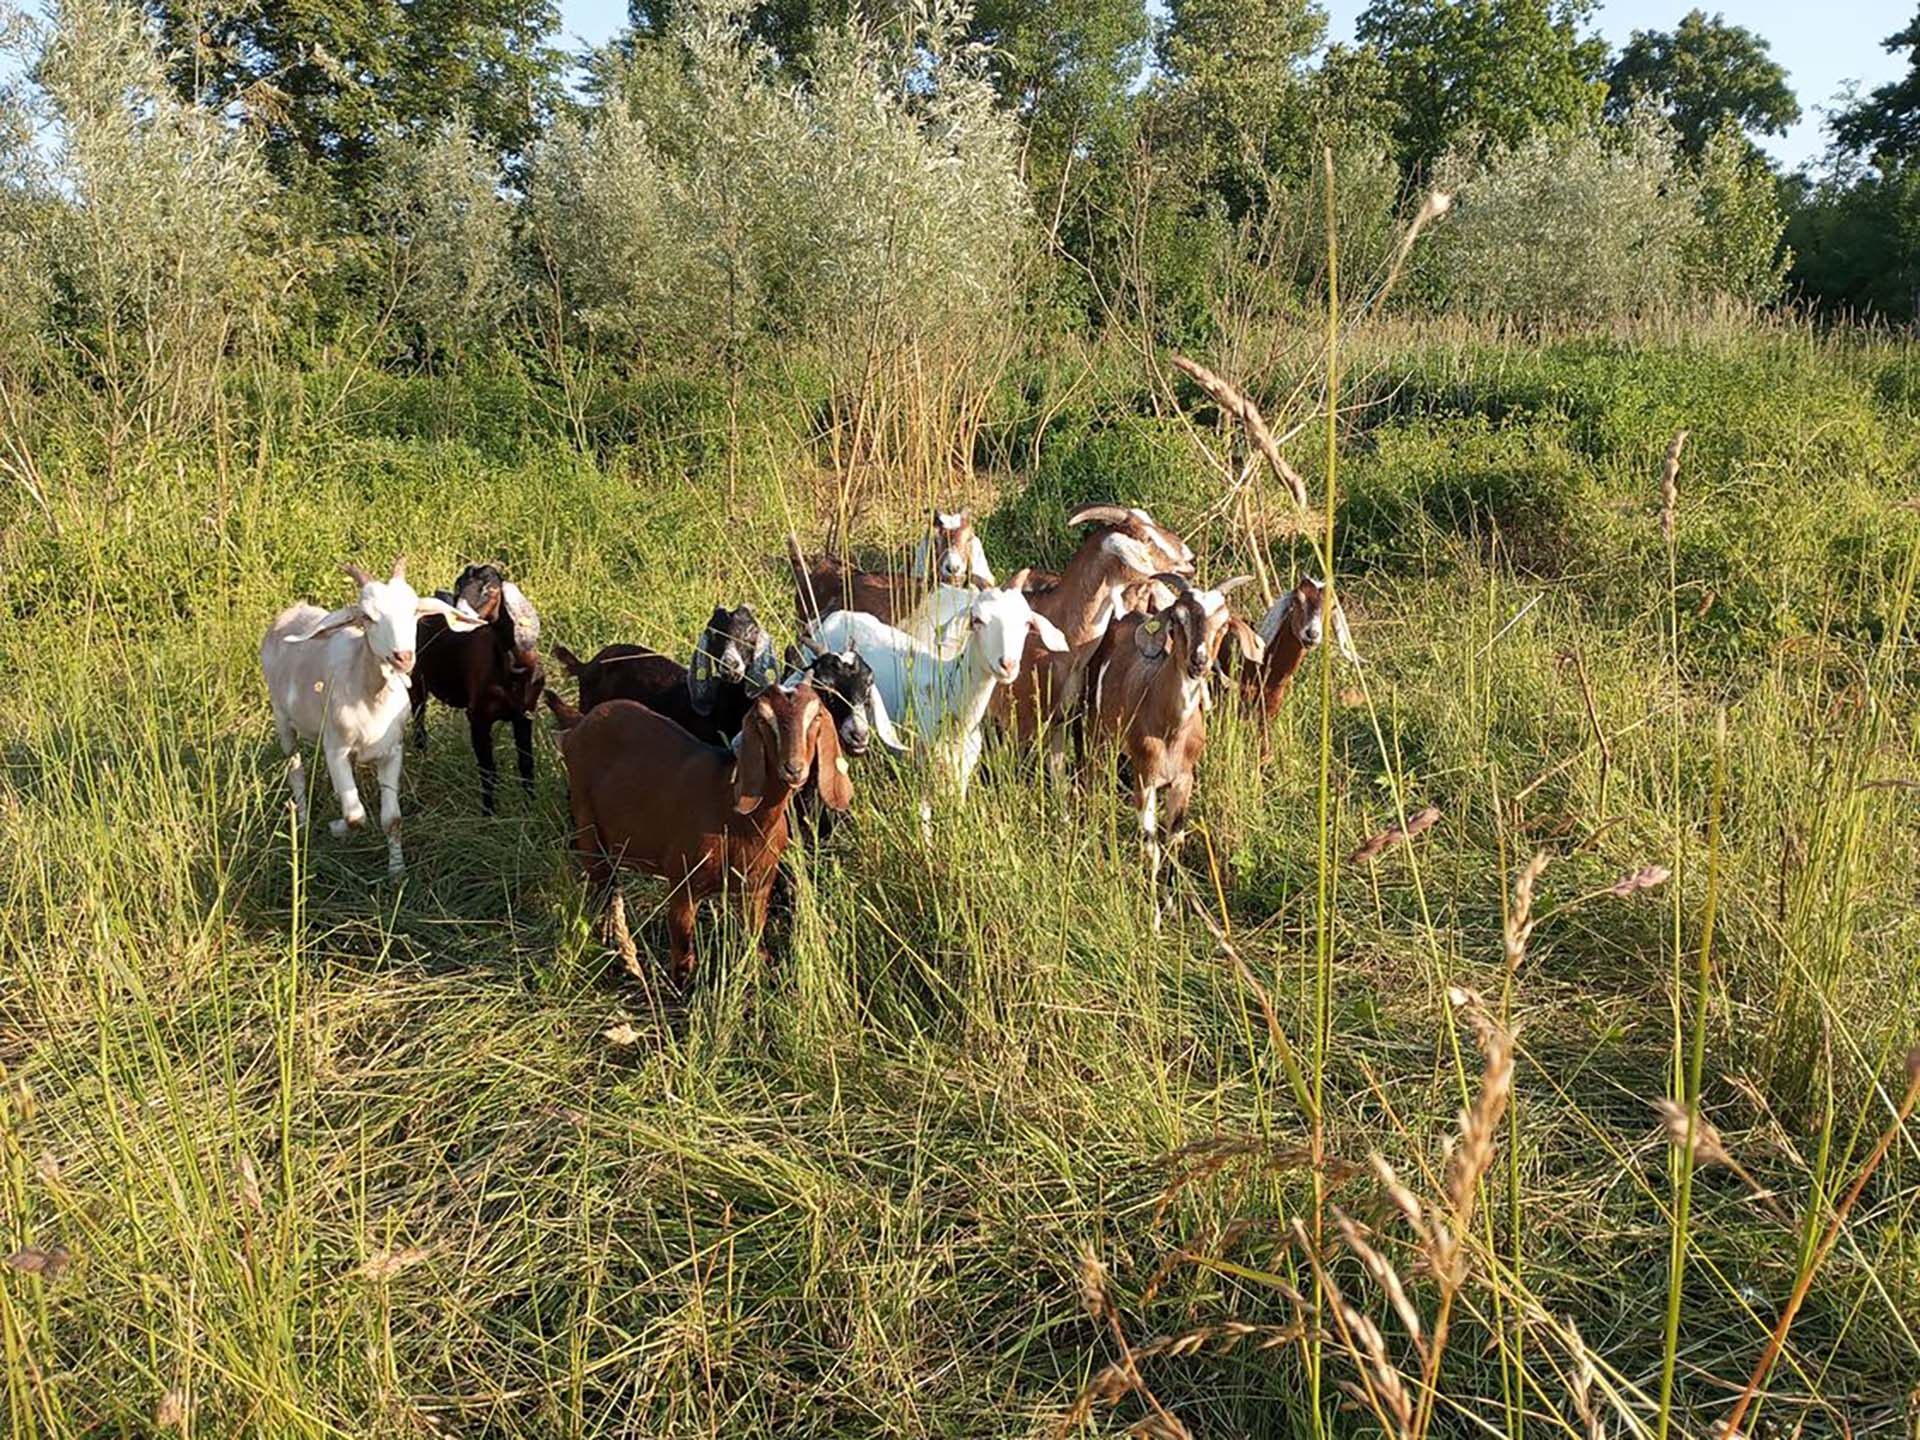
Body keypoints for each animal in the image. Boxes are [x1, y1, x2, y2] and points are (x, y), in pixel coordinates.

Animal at [262, 557, 487, 875]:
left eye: (414, 611)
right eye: (367, 617)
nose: (403, 657)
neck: (370, 695)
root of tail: (290, 613)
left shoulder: (391, 751)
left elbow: (392, 819)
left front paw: (397, 872)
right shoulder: (336, 750)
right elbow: (355, 815)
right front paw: (336, 828)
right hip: (282, 719)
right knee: (296, 770)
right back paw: (303, 822)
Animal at [410, 563, 546, 813]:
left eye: (489, 588)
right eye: (459, 585)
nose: (458, 618)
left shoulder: (525, 714)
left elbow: (526, 764)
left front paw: (530, 807)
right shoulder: (478, 717)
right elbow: (488, 771)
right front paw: (489, 814)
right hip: (416, 682)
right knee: (419, 733)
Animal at [546, 681, 851, 985]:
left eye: (816, 716)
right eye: (764, 720)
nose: (794, 769)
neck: (735, 816)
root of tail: (579, 723)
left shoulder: (757, 888)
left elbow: (756, 944)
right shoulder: (684, 884)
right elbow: (683, 956)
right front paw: (679, 990)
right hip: (588, 826)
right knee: (603, 889)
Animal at [805, 576, 1067, 810]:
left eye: (1026, 624)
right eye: (977, 620)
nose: (1008, 665)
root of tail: (831, 618)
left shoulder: (961, 774)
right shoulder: (921, 773)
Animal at [1087, 573, 1262, 926]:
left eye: (1224, 624)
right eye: (1177, 619)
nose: (1199, 661)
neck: (1170, 729)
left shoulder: (1183, 780)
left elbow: (1174, 842)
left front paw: (1171, 906)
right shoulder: (1145, 780)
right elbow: (1151, 847)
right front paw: (1153, 919)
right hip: (1099, 734)